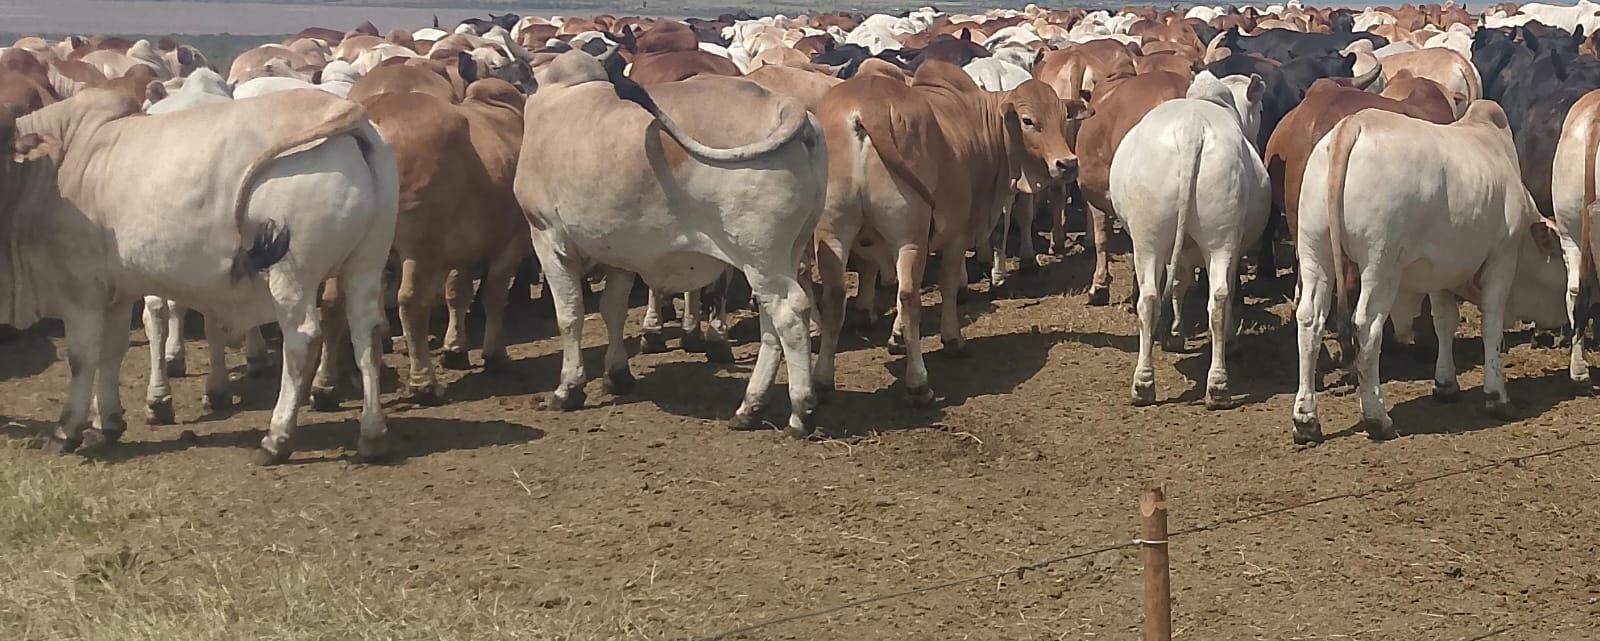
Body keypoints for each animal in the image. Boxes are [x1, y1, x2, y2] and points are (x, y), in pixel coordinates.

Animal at [1, 88, 399, 464]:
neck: (57, 167)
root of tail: (350, 116)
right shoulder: (115, 293)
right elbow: (110, 354)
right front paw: (107, 424)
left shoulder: (80, 293)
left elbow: (82, 360)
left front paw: (66, 431)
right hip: (366, 264)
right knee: (367, 333)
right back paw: (373, 435)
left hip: (292, 275)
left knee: (301, 341)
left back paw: (277, 439)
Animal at [515, 51, 826, 437]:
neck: (557, 98)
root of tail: (786, 105)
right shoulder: (616, 251)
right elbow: (612, 310)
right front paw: (617, 375)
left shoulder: (547, 237)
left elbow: (569, 316)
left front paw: (568, 388)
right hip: (780, 255)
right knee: (772, 324)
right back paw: (750, 408)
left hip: (760, 257)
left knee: (789, 314)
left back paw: (800, 412)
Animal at [812, 59, 1084, 404]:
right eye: (1028, 120)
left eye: (1062, 118)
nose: (1067, 164)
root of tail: (867, 108)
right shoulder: (956, 234)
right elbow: (949, 284)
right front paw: (952, 339)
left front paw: (896, 337)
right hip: (910, 238)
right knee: (909, 296)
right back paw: (919, 384)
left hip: (831, 235)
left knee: (835, 298)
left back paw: (821, 382)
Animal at [1110, 72, 1269, 409]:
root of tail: (1192, 130)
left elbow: (1179, 284)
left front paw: (1174, 334)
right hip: (1221, 238)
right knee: (1220, 297)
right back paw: (1218, 383)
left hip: (1148, 236)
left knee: (1151, 299)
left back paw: (1145, 385)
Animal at [1291, 101, 1568, 445]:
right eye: (1566, 265)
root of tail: (1353, 124)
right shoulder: (1502, 259)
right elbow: (1491, 325)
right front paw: (1497, 397)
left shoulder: (1440, 271)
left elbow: (1444, 322)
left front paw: (1445, 385)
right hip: (1380, 262)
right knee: (1367, 327)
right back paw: (1377, 419)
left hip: (1314, 250)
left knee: (1309, 320)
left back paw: (1306, 421)